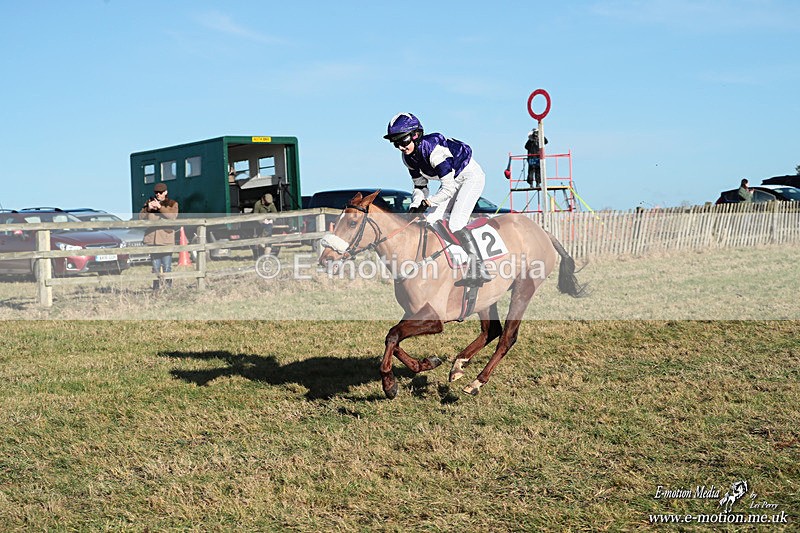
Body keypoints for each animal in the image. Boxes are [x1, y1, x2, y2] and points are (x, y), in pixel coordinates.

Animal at [318, 190, 585, 399]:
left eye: (352, 223)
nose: (325, 259)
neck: (413, 254)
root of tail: (541, 231)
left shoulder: (434, 318)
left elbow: (392, 335)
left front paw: (389, 384)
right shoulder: (413, 311)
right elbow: (394, 339)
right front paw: (425, 363)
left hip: (523, 289)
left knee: (507, 337)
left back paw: (476, 382)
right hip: (485, 297)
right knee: (491, 330)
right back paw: (458, 365)